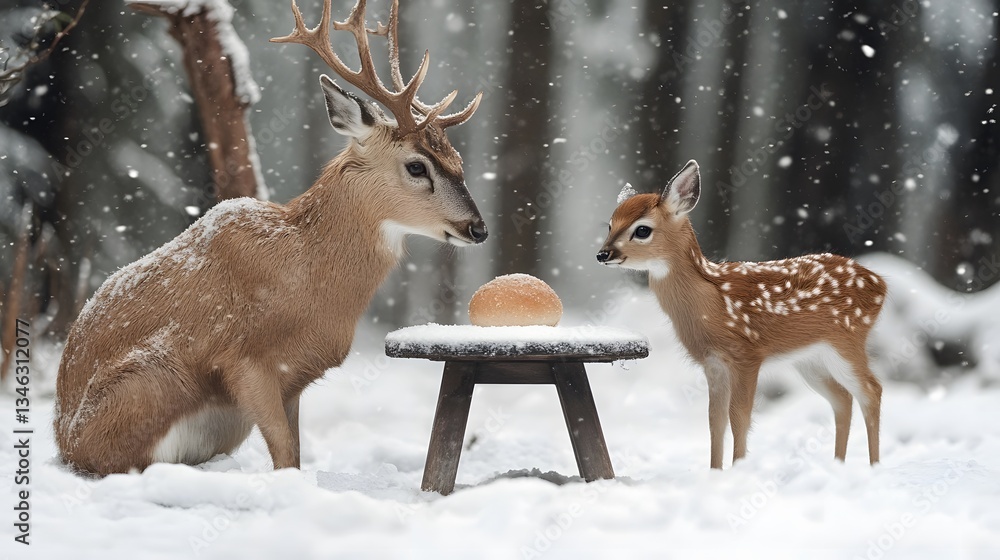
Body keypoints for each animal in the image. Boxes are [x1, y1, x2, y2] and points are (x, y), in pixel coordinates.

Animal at [54, 0, 487, 476]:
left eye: (458, 160)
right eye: (416, 166)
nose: (479, 227)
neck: (304, 272)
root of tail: (63, 442)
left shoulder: (294, 378)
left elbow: (293, 451)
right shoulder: (243, 358)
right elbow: (283, 456)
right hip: (152, 378)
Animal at [597, 160, 885, 469]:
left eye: (642, 230)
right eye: (611, 225)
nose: (603, 254)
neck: (711, 303)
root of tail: (881, 284)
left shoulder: (747, 354)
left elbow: (739, 416)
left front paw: (738, 469)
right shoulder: (713, 362)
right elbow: (715, 420)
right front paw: (715, 472)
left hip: (847, 341)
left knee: (871, 391)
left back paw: (874, 467)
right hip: (811, 359)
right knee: (842, 398)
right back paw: (838, 465)